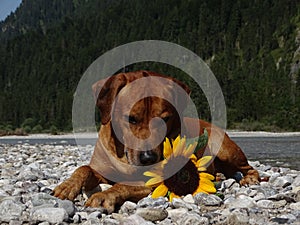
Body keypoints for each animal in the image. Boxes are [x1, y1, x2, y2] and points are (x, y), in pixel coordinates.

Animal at [52, 70, 258, 213]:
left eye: (164, 119)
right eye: (131, 119)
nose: (148, 158)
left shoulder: (154, 180)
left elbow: (124, 185)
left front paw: (104, 195)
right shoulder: (103, 171)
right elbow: (84, 169)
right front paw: (67, 186)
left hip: (224, 148)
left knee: (249, 168)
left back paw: (249, 179)